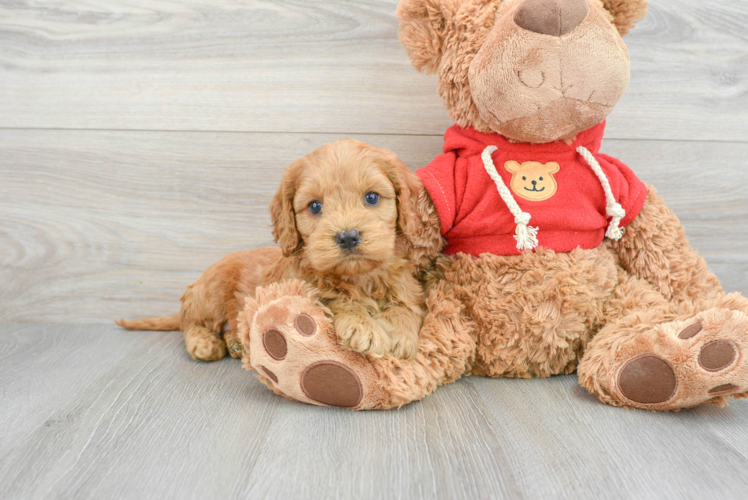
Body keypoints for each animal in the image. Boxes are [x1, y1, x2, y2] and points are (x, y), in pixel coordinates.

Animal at [116, 139, 442, 362]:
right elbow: (334, 299)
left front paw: (399, 333)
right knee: (191, 323)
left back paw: (236, 342)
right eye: (315, 206)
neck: (359, 278)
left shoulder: (406, 287)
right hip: (212, 293)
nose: (348, 237)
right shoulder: (299, 288)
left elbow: (406, 307)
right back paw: (205, 343)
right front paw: (364, 327)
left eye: (372, 198)